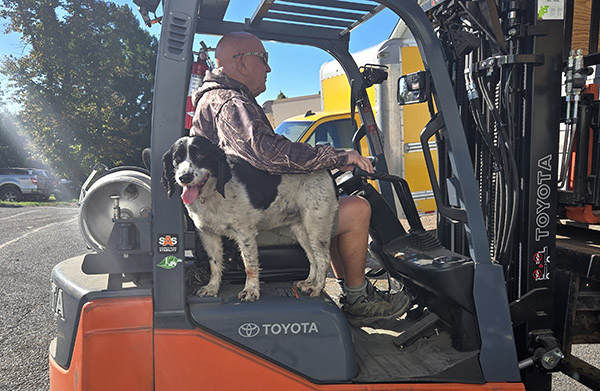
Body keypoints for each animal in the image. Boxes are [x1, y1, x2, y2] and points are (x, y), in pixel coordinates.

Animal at [161, 136, 338, 302]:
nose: (184, 177)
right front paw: (212, 288)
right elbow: (215, 264)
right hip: (302, 229)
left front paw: (251, 291)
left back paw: (316, 287)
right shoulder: (208, 235)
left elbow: (250, 266)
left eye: (200, 155)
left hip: (316, 225)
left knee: (323, 258)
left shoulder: (245, 234)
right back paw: (309, 282)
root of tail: (326, 170)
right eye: (176, 159)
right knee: (312, 256)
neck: (214, 193)